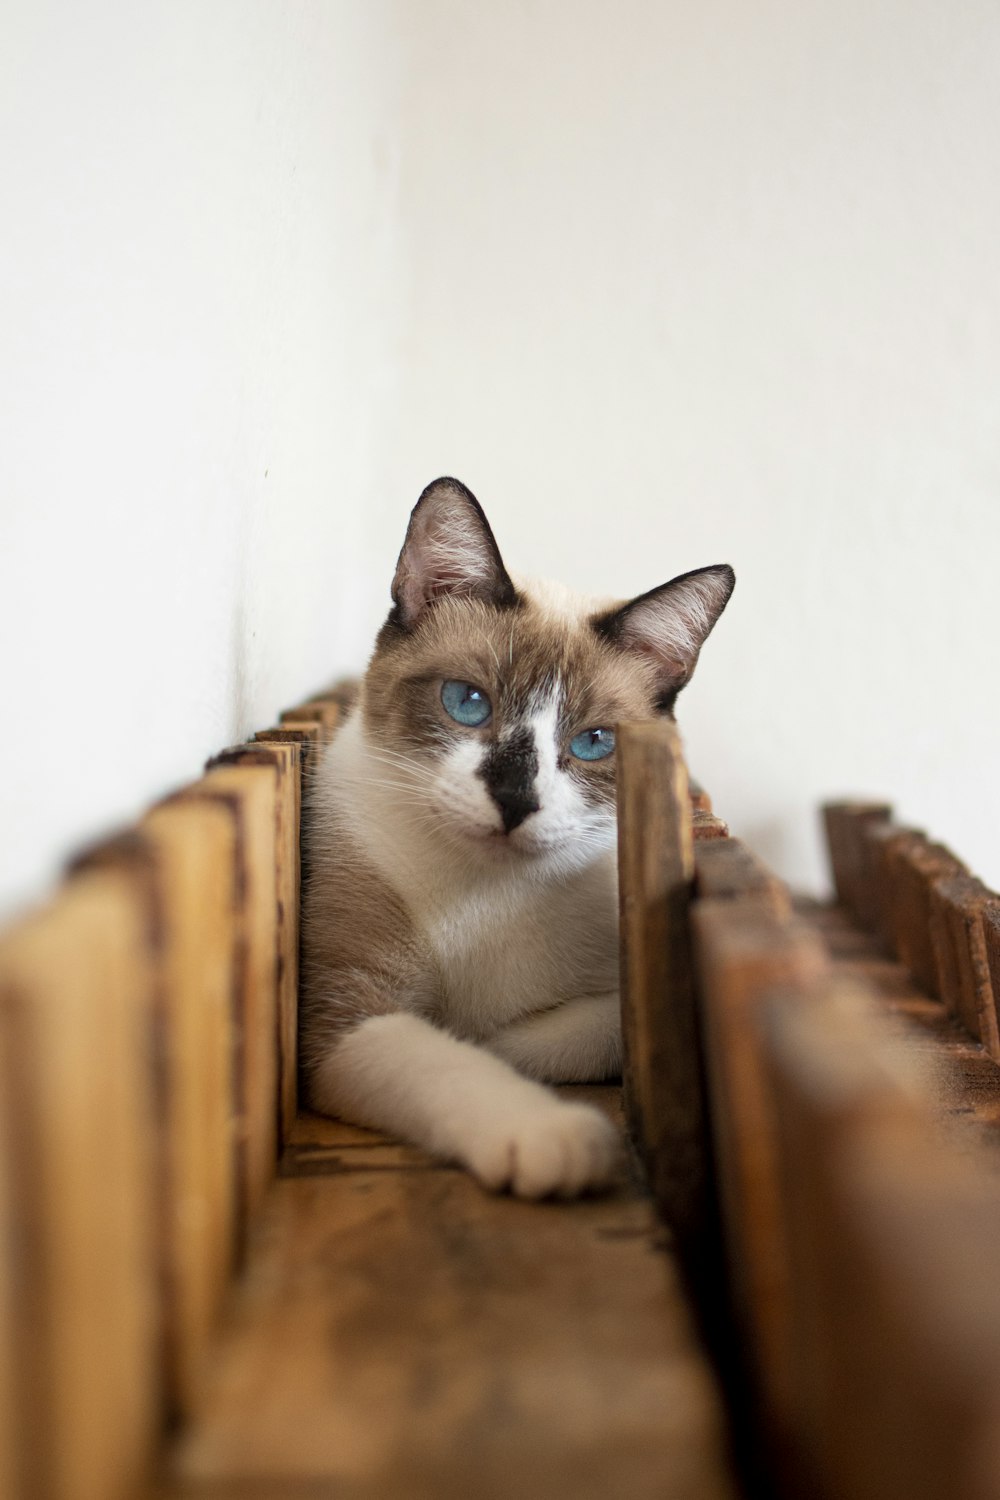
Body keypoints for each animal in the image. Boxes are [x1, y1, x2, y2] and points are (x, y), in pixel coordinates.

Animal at [301, 486, 731, 1200]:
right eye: (467, 703)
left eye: (593, 743)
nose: (514, 802)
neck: (484, 895)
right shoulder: (345, 1017)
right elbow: (448, 1061)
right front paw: (555, 1137)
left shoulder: (637, 988)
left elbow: (556, 1038)